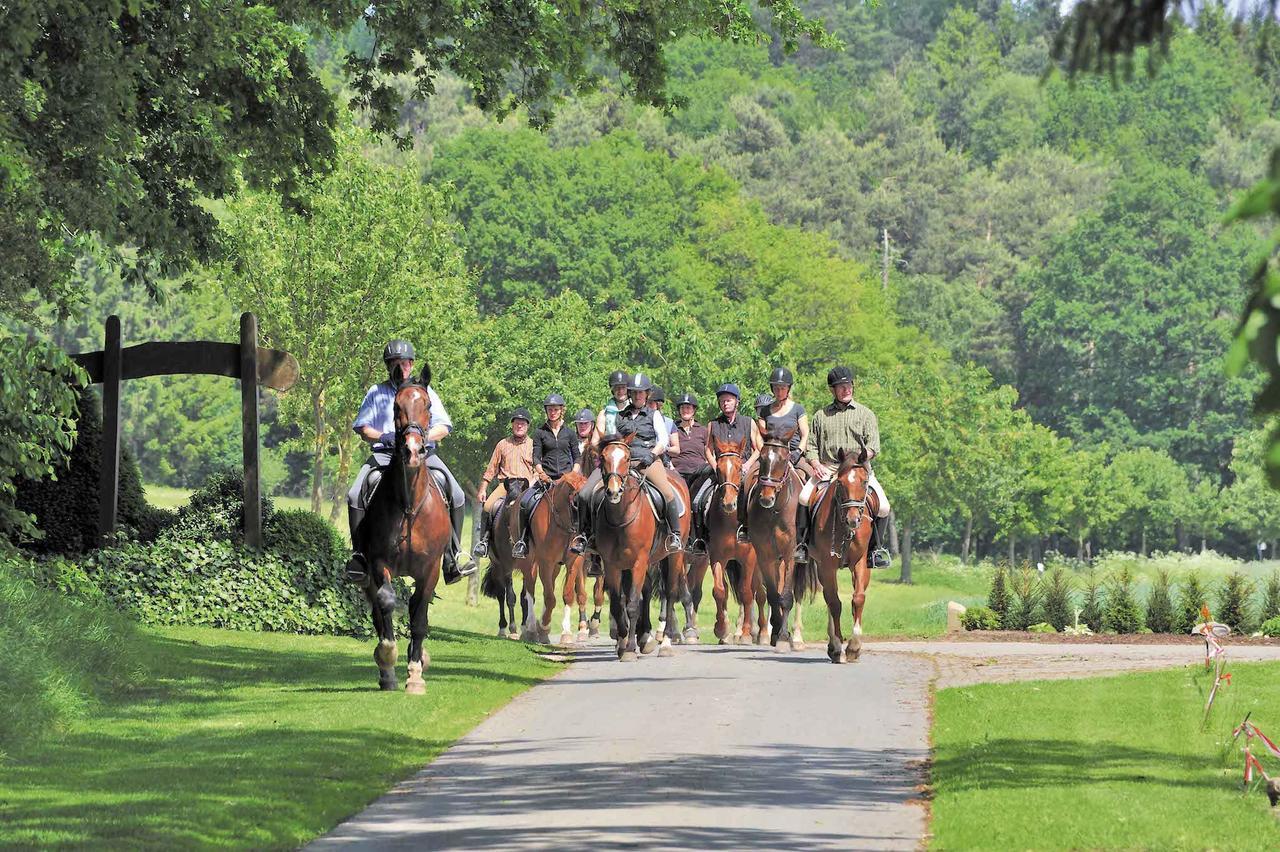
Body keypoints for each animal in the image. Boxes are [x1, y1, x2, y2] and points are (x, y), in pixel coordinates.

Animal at [355, 373, 450, 690]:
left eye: (429, 405)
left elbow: (419, 618)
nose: (412, 451)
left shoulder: (430, 569)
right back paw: (387, 672)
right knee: (378, 611)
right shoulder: (378, 563)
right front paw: (388, 656)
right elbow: (386, 605)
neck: (409, 506)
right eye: (396, 407)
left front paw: (416, 672)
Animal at [593, 434, 686, 660]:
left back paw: (666, 643)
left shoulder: (638, 562)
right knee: (645, 591)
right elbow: (618, 604)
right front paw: (623, 643)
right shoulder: (612, 564)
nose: (613, 491)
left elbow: (633, 603)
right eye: (603, 457)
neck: (621, 516)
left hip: (673, 556)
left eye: (627, 458)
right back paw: (644, 638)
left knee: (670, 594)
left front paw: (628, 649)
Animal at [706, 432, 762, 644]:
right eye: (718, 469)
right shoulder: (717, 557)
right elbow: (719, 591)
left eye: (739, 468)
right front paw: (721, 629)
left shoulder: (749, 559)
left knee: (760, 592)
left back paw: (763, 632)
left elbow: (746, 592)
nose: (729, 503)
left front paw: (745, 633)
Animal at [747, 424, 814, 649]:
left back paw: (796, 638)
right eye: (761, 458)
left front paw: (784, 636)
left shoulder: (790, 553)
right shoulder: (765, 555)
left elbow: (786, 596)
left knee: (798, 592)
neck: (776, 510)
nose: (766, 498)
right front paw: (775, 632)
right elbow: (773, 595)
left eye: (784, 460)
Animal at [814, 437, 875, 665]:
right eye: (840, 483)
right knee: (830, 600)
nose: (853, 520)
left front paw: (854, 647)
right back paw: (833, 646)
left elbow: (858, 598)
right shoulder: (827, 564)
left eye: (864, 482)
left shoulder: (860, 562)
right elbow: (835, 603)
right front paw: (839, 646)